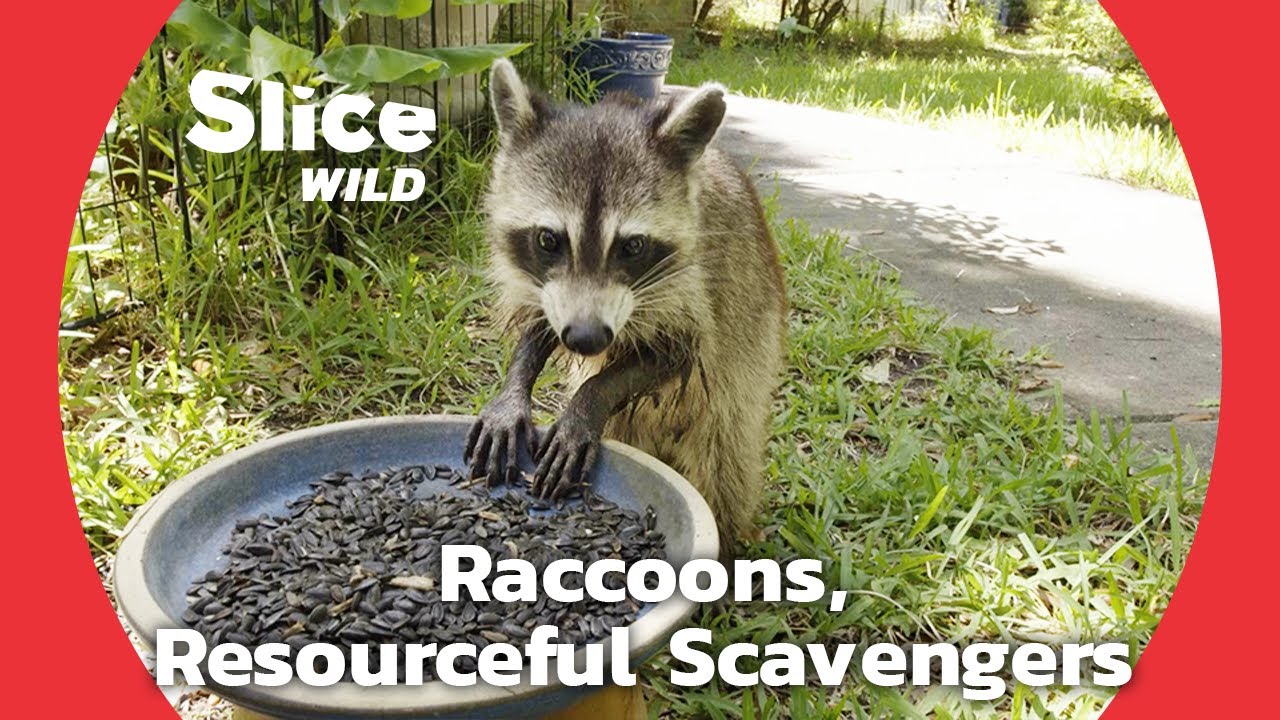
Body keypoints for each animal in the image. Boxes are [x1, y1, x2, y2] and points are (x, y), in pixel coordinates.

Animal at [464, 59, 787, 553]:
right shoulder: (547, 289)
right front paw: (515, 388)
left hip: (739, 383)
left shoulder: (696, 286)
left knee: (723, 466)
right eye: (548, 240)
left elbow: (675, 354)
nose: (585, 339)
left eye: (632, 246)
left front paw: (587, 402)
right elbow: (542, 321)